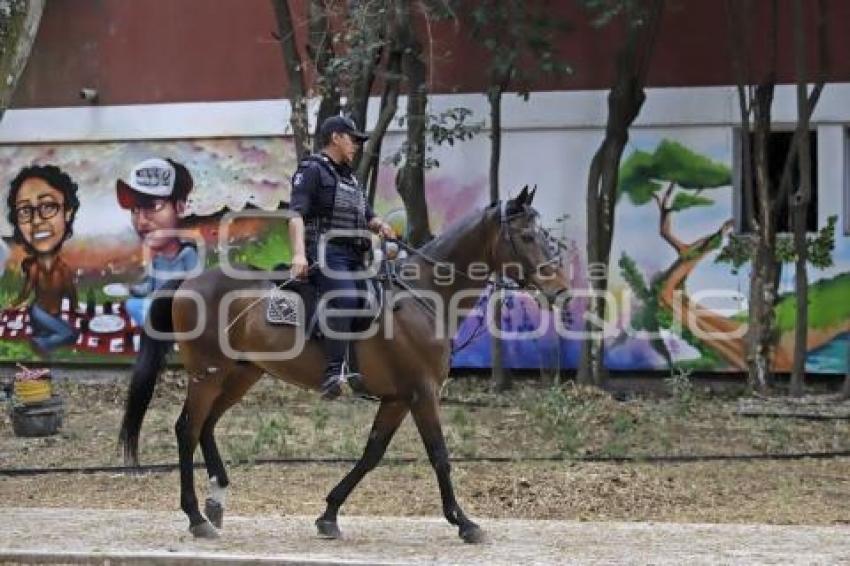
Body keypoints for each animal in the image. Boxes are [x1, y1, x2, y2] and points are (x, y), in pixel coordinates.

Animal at [119, 187, 568, 544]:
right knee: (187, 429)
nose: (560, 289)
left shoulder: (397, 399)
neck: (423, 296)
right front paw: (464, 522)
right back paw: (197, 516)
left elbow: (372, 454)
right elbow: (439, 454)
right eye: (527, 236)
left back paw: (217, 501)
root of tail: (191, 281)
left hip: (242, 373)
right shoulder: (422, 394)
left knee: (207, 426)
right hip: (207, 374)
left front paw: (329, 515)